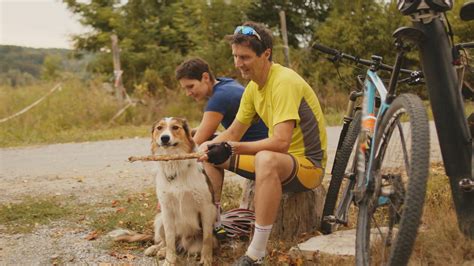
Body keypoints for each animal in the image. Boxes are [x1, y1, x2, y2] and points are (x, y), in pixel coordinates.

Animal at [145, 117, 218, 264]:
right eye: (159, 128)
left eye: (175, 127)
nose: (164, 138)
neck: (175, 164)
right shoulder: (166, 209)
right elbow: (170, 240)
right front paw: (169, 261)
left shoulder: (207, 208)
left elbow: (207, 239)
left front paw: (207, 260)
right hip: (160, 219)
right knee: (167, 242)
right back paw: (158, 249)